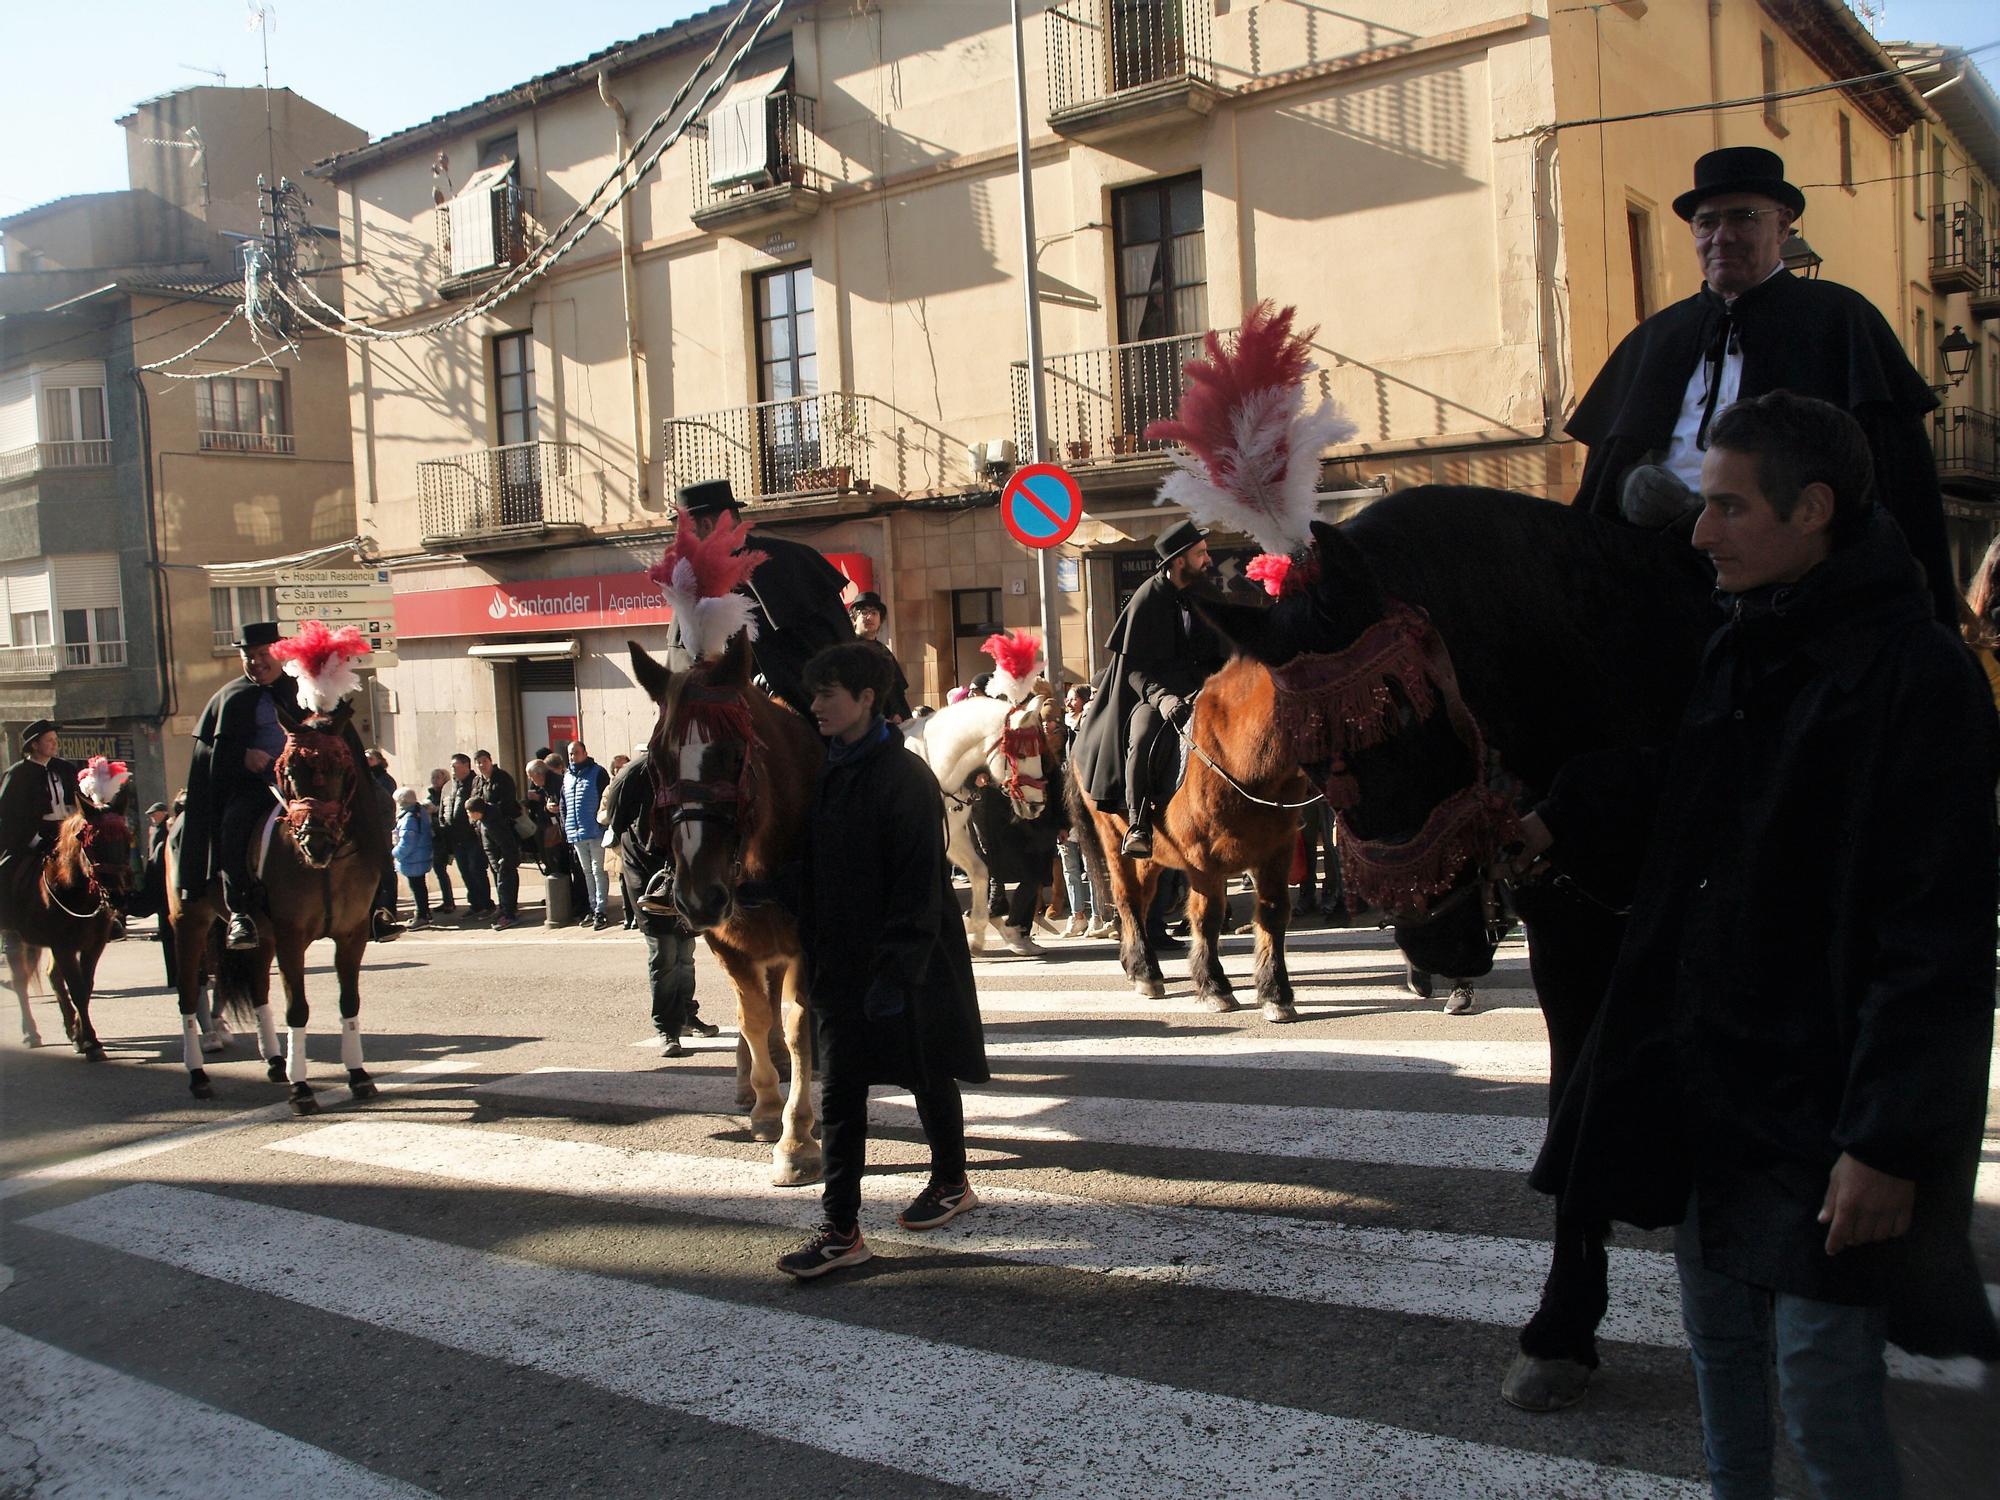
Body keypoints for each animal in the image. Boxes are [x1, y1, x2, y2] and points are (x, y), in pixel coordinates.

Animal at [6, 812, 133, 1056]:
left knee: (52, 977)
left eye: (126, 840)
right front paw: (90, 1042)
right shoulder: (63, 947)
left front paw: (81, 1035)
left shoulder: (93, 946)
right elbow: (77, 989)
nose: (118, 897)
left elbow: (85, 987)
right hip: (13, 934)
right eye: (94, 844)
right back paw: (31, 1033)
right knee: (20, 980)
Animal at [167, 700, 382, 1112]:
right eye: (289, 770)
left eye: (340, 768)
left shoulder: (352, 934)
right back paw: (199, 1076)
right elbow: (297, 1008)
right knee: (187, 995)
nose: (315, 842)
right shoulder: (290, 936)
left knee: (258, 989)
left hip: (262, 936)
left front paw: (358, 1075)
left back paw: (275, 1060)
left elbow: (350, 1002)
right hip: (189, 922)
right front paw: (302, 1088)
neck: (329, 867)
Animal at [620, 632, 816, 1184]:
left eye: (732, 754)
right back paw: (749, 1080)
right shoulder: (726, 945)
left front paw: (797, 1139)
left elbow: (797, 1025)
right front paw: (768, 1107)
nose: (699, 898)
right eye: (657, 761)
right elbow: (752, 1017)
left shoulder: (808, 945)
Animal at [1064, 664, 1312, 1032]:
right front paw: (1215, 988)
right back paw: (1146, 971)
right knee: (1127, 898)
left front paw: (1275, 994)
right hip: (1112, 838)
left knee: (1143, 899)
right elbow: (1207, 917)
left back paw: (1133, 963)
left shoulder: (1275, 852)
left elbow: (1273, 913)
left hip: (1152, 855)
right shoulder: (1203, 860)